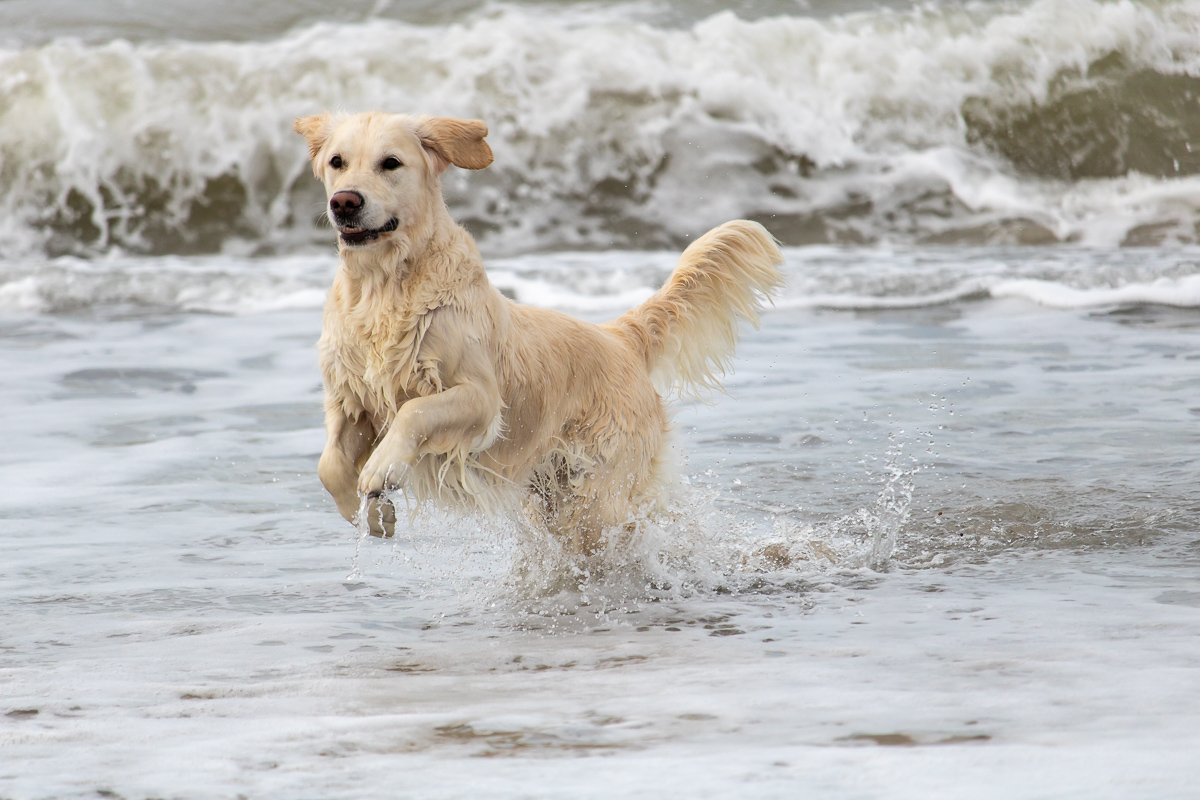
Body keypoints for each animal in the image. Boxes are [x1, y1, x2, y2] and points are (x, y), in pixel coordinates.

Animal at [294, 109, 782, 554]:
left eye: (391, 163)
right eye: (337, 162)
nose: (344, 202)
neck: (383, 288)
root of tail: (619, 337)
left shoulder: (481, 398)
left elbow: (415, 411)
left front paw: (381, 470)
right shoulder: (350, 399)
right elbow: (328, 464)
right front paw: (372, 512)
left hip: (600, 492)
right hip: (552, 491)